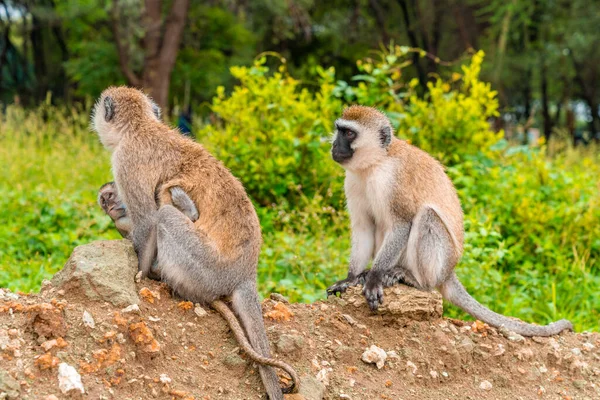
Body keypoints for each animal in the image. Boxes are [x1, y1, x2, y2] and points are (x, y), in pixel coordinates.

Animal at [91, 87, 298, 396]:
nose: (111, 204)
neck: (141, 128)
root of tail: (245, 274)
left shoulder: (125, 161)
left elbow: (147, 221)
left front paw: (139, 274)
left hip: (204, 268)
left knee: (164, 215)